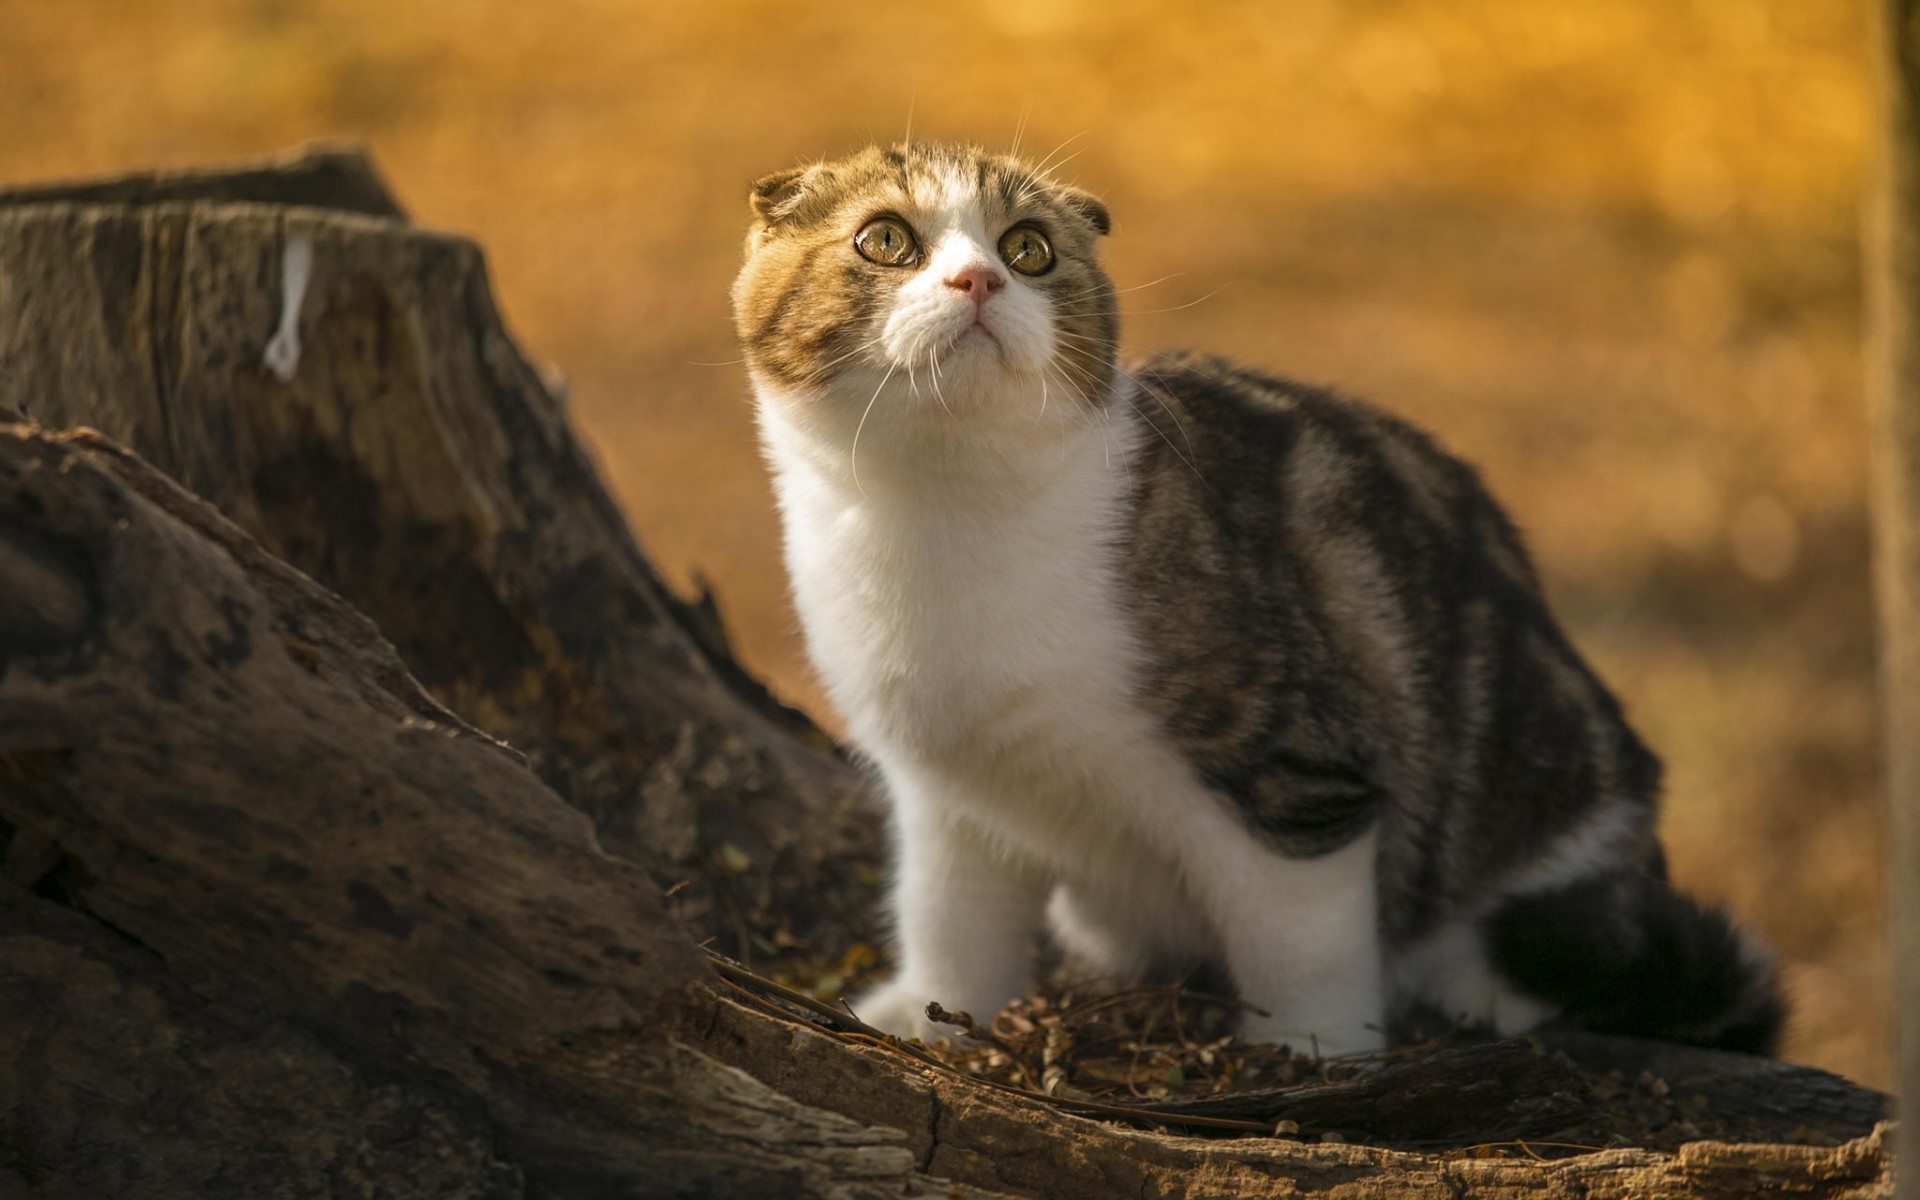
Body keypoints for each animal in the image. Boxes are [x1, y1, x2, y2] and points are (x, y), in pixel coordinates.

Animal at [729, 143, 1781, 1059]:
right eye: (886, 239)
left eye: (1028, 248)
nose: (979, 282)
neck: (941, 514)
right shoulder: (949, 784)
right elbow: (950, 907)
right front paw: (931, 1009)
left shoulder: (1291, 762)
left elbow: (1300, 932)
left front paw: (1313, 1047)